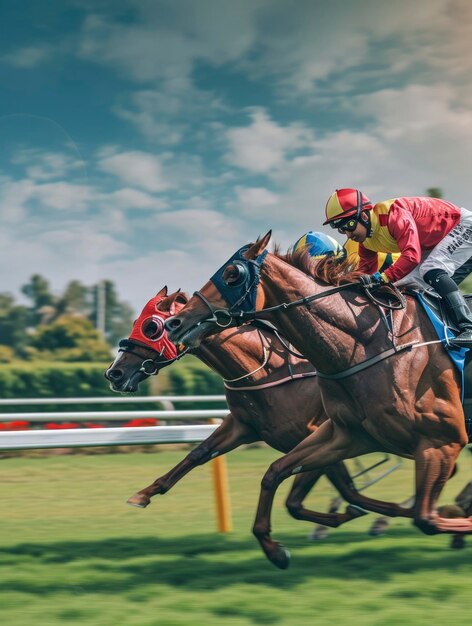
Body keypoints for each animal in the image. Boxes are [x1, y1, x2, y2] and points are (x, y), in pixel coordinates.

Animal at [104, 286, 410, 540]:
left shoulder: (320, 437)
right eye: (136, 322)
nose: (114, 373)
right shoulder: (244, 426)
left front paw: (373, 514)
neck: (270, 371)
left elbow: (332, 493)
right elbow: (198, 453)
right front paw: (143, 494)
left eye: (152, 327)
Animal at [164, 233, 470, 564]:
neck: (368, 343)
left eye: (233, 274)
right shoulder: (348, 435)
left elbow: (426, 518)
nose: (175, 322)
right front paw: (274, 549)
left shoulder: (441, 441)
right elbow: (275, 472)